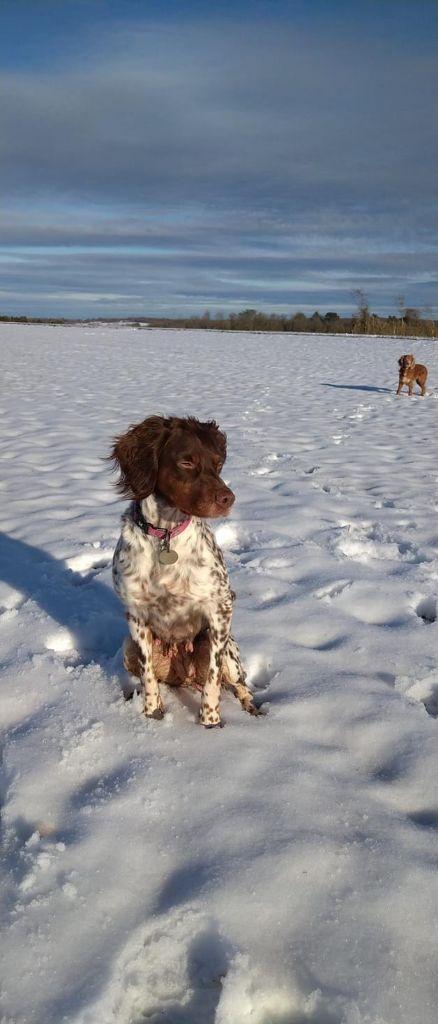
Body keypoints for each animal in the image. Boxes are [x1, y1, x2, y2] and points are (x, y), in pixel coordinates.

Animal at [109, 415, 259, 729]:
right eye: (186, 462)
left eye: (218, 462)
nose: (228, 498)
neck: (166, 534)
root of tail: (184, 678)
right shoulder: (136, 613)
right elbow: (148, 677)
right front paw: (152, 715)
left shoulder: (221, 608)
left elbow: (213, 679)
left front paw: (210, 723)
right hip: (128, 646)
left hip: (230, 652)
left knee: (240, 684)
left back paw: (253, 709)